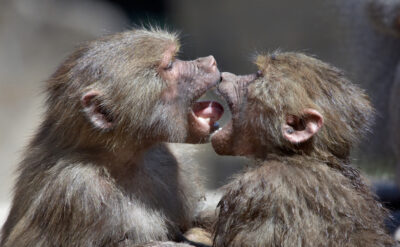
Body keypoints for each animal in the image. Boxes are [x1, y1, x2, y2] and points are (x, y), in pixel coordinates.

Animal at [0, 28, 223, 246]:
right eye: (169, 66)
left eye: (174, 59)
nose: (211, 61)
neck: (121, 157)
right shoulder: (79, 190)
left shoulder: (173, 160)